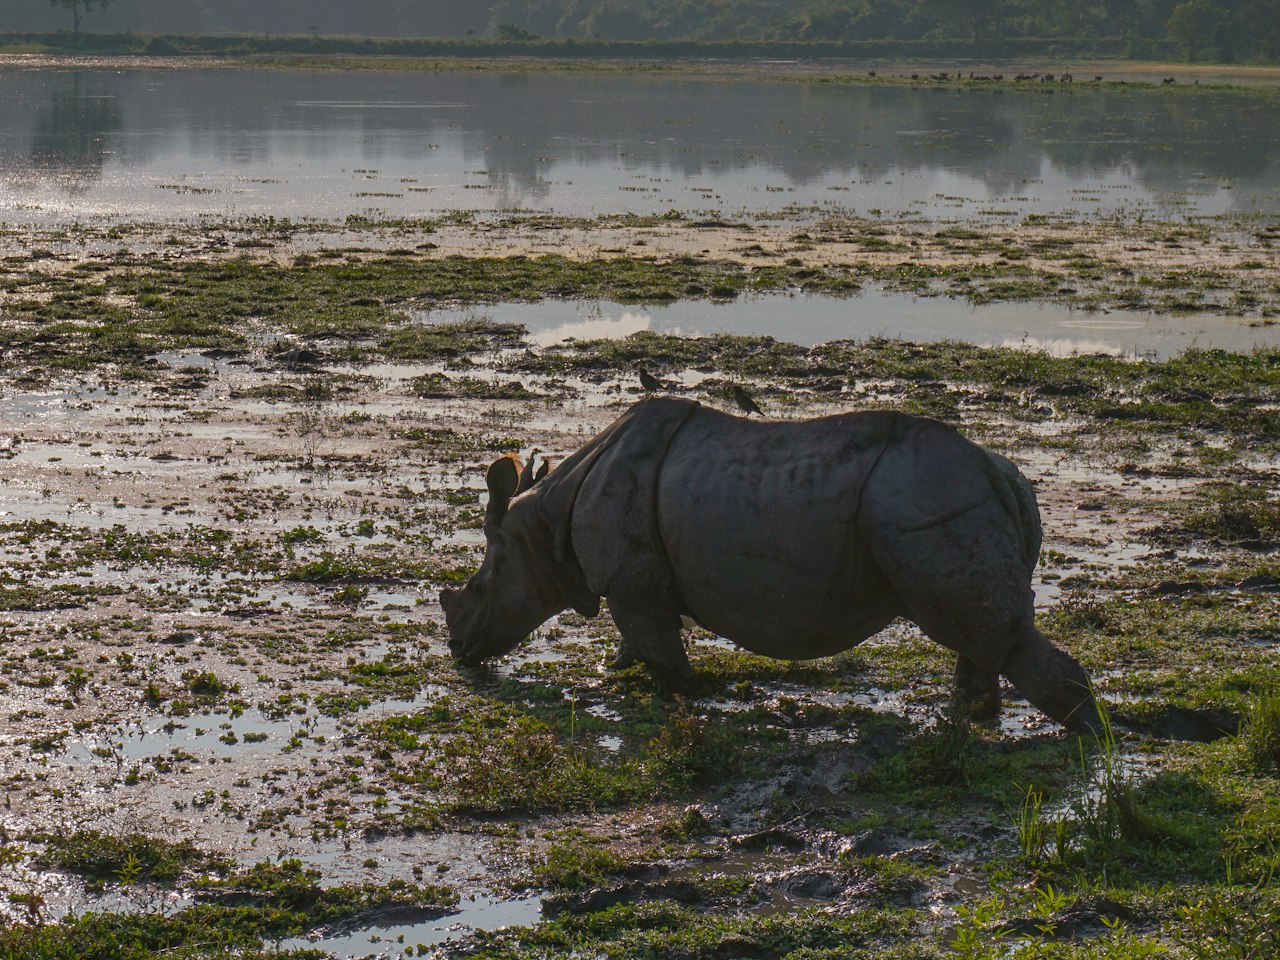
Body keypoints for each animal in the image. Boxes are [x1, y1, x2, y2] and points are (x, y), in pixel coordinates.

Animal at [440, 397, 1101, 733]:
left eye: (480, 585)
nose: (459, 650)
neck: (542, 525)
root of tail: (1002, 475)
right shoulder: (635, 585)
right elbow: (636, 641)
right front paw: (614, 671)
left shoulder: (631, 584)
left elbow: (661, 652)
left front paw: (675, 694)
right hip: (950, 495)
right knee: (981, 634)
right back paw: (968, 718)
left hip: (928, 498)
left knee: (981, 628)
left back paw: (1088, 748)